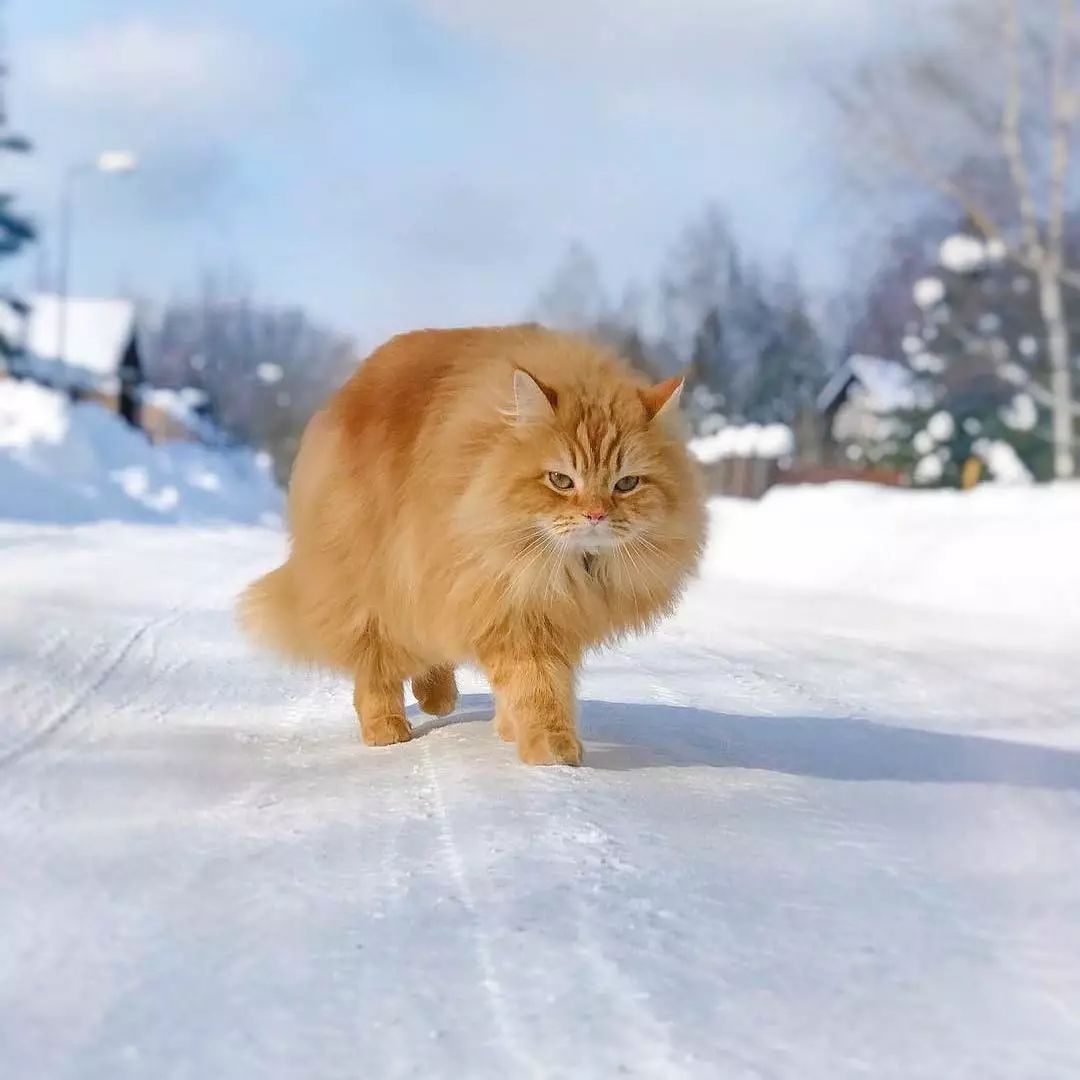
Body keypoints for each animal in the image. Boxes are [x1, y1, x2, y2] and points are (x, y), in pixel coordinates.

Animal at [239, 324, 704, 764]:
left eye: (626, 484)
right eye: (560, 480)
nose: (595, 515)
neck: (573, 568)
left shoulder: (539, 611)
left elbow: (539, 685)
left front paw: (513, 730)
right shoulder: (511, 605)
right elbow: (536, 688)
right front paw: (550, 748)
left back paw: (437, 699)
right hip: (372, 581)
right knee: (376, 665)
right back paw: (387, 728)